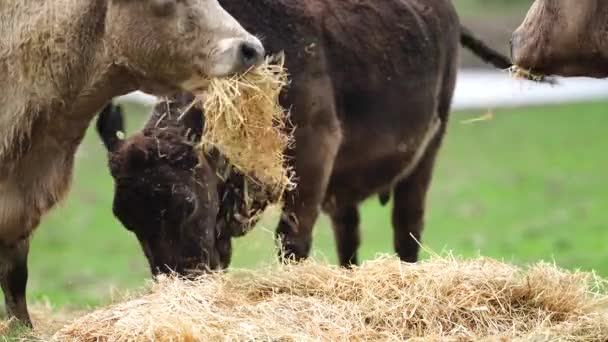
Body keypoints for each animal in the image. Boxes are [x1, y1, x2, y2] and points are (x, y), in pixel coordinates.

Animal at [96, 0, 516, 278]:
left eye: (186, 205)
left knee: (406, 230)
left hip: (426, 152)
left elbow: (291, 243)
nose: (179, 280)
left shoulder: (312, 159)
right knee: (349, 235)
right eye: (125, 218)